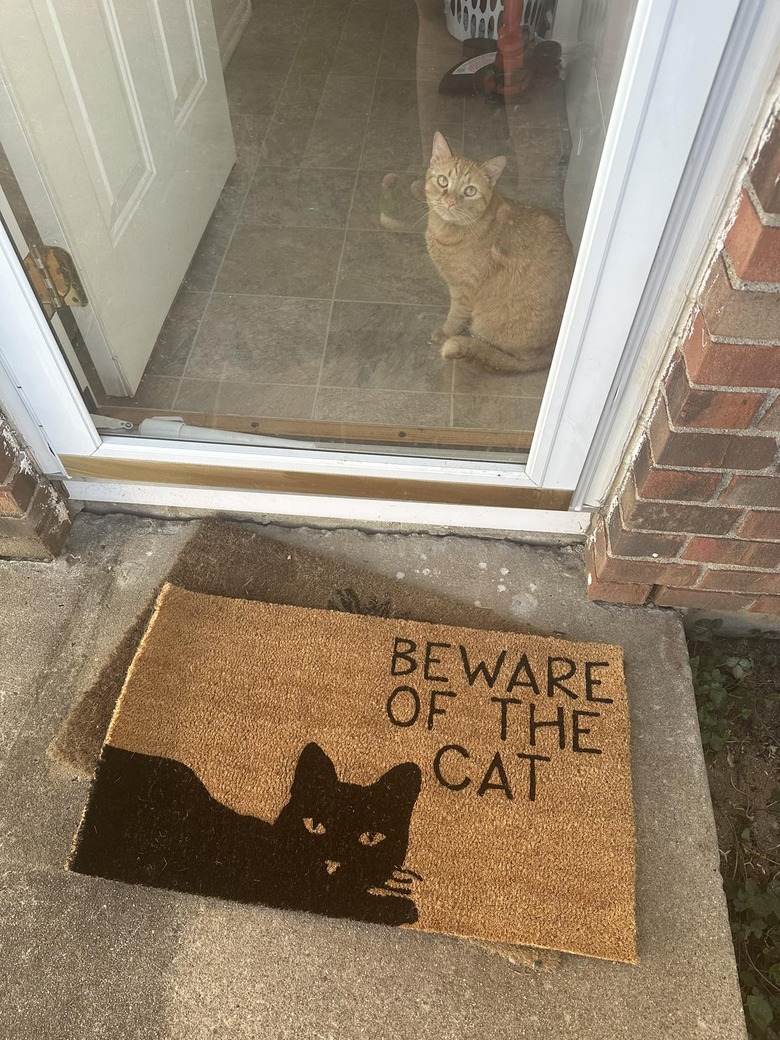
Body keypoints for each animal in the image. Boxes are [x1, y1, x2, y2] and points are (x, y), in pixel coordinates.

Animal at [428, 131, 574, 374]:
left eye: (469, 190)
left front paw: (445, 332)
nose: (449, 201)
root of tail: (549, 353)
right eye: (443, 181)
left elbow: (455, 316)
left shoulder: (464, 290)